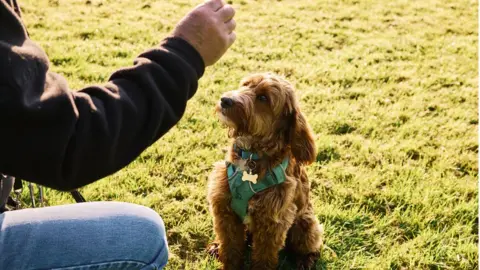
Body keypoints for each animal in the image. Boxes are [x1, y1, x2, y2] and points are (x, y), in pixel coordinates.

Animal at [206, 73, 322, 268]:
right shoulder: (224, 210)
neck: (252, 155)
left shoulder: (272, 222)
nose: (225, 100)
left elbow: (264, 257)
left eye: (263, 98)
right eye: (245, 85)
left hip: (305, 224)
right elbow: (230, 248)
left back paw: (305, 259)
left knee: (310, 245)